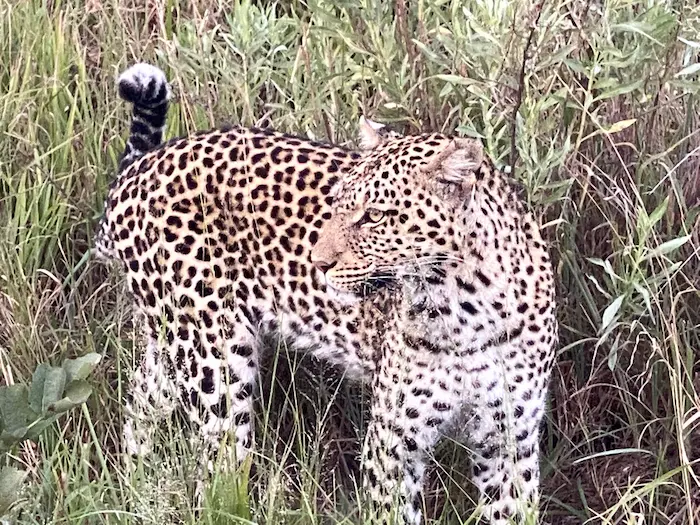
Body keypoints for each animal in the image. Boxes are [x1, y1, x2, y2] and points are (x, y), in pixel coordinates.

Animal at [95, 63, 557, 525]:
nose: (317, 262)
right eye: (337, 205)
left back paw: (134, 488)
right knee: (219, 474)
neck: (463, 308)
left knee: (140, 409)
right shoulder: (394, 442)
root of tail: (140, 168)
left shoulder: (509, 442)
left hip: (173, 344)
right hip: (213, 364)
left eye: (375, 216)